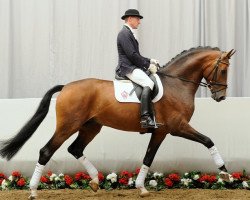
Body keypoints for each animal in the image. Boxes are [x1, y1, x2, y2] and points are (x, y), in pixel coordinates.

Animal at [0, 47, 235, 198]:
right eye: (223, 70)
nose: (221, 97)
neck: (176, 85)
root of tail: (66, 86)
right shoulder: (178, 127)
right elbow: (208, 141)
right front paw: (225, 173)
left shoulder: (160, 132)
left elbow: (148, 157)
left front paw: (141, 188)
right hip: (68, 126)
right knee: (46, 151)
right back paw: (33, 190)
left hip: (91, 127)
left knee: (75, 149)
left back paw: (95, 181)